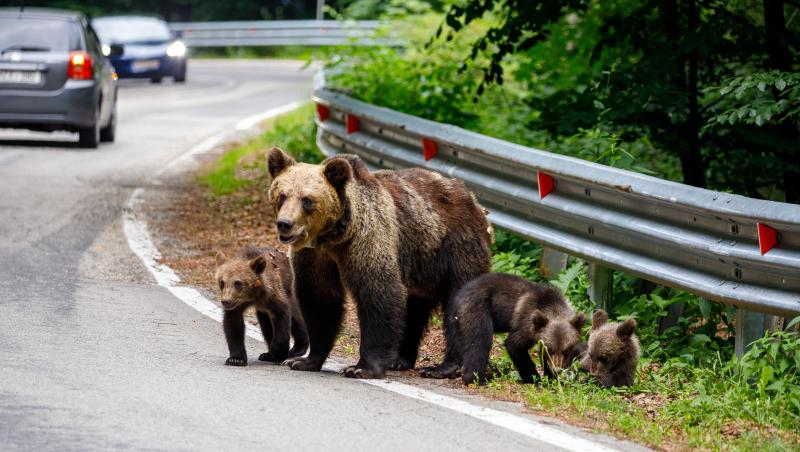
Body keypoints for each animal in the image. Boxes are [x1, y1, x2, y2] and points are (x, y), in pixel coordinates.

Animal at [268, 147, 490, 378]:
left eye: (307, 200)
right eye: (282, 195)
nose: (285, 224)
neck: (333, 236)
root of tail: (474, 201)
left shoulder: (367, 238)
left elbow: (378, 292)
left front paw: (362, 367)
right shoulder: (314, 256)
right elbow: (319, 299)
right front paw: (303, 361)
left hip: (457, 248)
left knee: (458, 302)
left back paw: (443, 367)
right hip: (420, 266)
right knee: (414, 309)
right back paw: (400, 360)